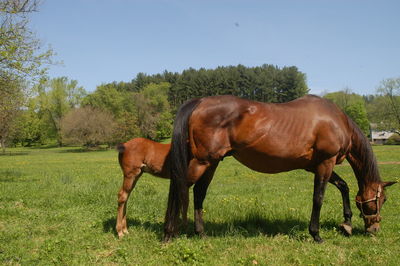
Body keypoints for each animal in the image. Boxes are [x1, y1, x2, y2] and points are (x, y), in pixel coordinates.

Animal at [164, 94, 396, 242]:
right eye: (382, 200)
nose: (374, 228)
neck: (337, 121)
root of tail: (200, 102)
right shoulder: (325, 163)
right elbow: (318, 198)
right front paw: (316, 234)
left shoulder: (315, 166)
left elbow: (344, 186)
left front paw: (346, 223)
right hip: (202, 162)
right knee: (179, 188)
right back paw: (169, 234)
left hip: (211, 163)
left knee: (198, 193)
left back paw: (200, 233)